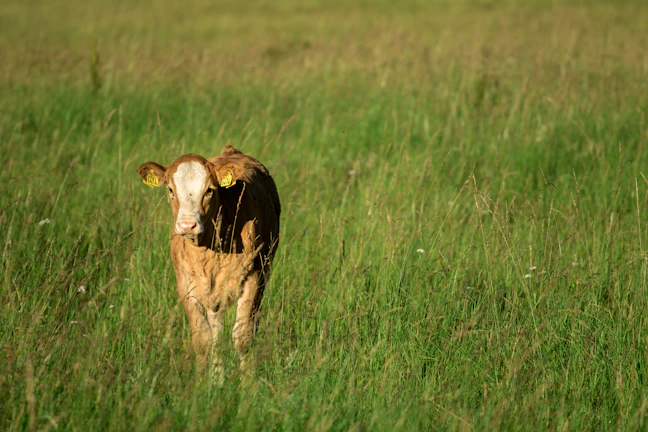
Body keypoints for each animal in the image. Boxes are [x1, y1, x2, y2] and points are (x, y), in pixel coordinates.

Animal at [136, 145, 280, 381]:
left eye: (209, 191)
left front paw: (248, 384)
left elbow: (243, 336)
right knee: (215, 329)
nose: (187, 225)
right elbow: (202, 338)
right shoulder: (186, 285)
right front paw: (203, 382)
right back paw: (217, 376)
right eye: (170, 190)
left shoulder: (252, 275)